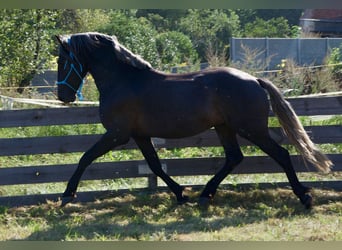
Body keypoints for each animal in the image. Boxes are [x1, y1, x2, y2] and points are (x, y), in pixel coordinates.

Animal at [56, 33, 332, 209]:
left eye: (62, 60)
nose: (63, 96)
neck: (123, 81)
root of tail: (254, 80)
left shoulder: (117, 134)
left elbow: (86, 158)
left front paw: (68, 194)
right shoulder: (139, 135)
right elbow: (155, 166)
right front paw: (180, 194)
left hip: (251, 129)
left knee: (281, 154)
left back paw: (304, 197)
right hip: (225, 127)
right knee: (234, 157)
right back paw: (205, 194)